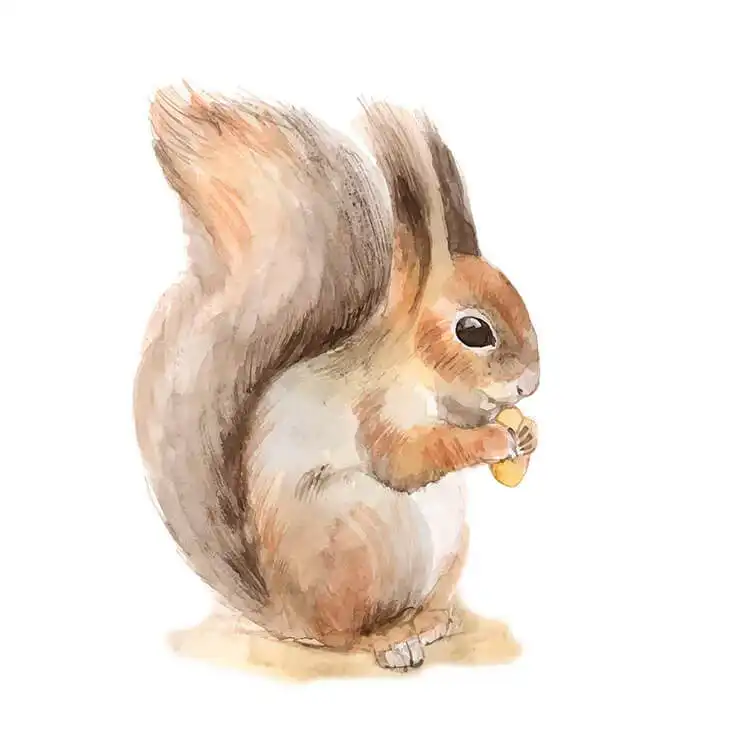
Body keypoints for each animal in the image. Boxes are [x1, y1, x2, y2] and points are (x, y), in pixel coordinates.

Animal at [134, 87, 540, 671]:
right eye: (473, 331)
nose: (530, 384)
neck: (416, 367)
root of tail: (291, 617)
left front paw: (524, 432)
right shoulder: (377, 410)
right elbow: (407, 458)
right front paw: (493, 439)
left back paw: (430, 621)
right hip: (362, 539)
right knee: (345, 636)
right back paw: (391, 643)